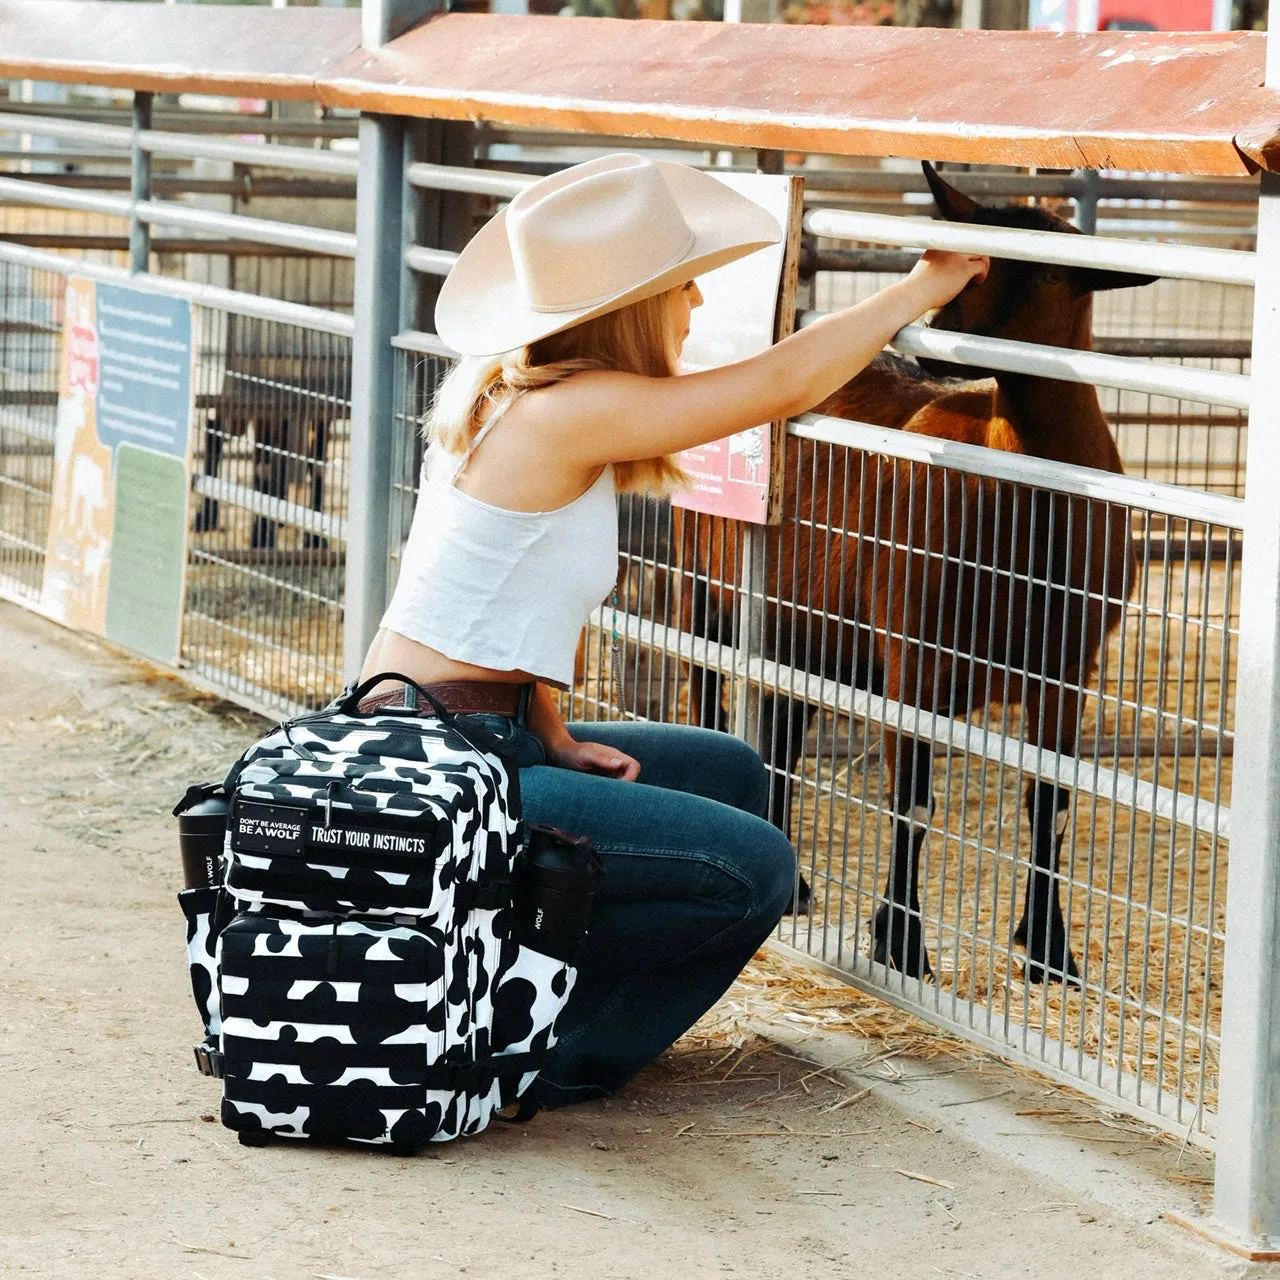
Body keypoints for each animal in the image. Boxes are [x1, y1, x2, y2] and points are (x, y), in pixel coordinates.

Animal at [686, 165, 1157, 983]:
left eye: (1044, 271)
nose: (938, 341)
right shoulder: (914, 662)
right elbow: (913, 801)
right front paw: (900, 946)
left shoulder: (1069, 671)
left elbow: (1051, 806)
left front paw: (1050, 950)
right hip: (703, 586)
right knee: (711, 700)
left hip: (809, 628)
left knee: (779, 740)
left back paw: (796, 884)